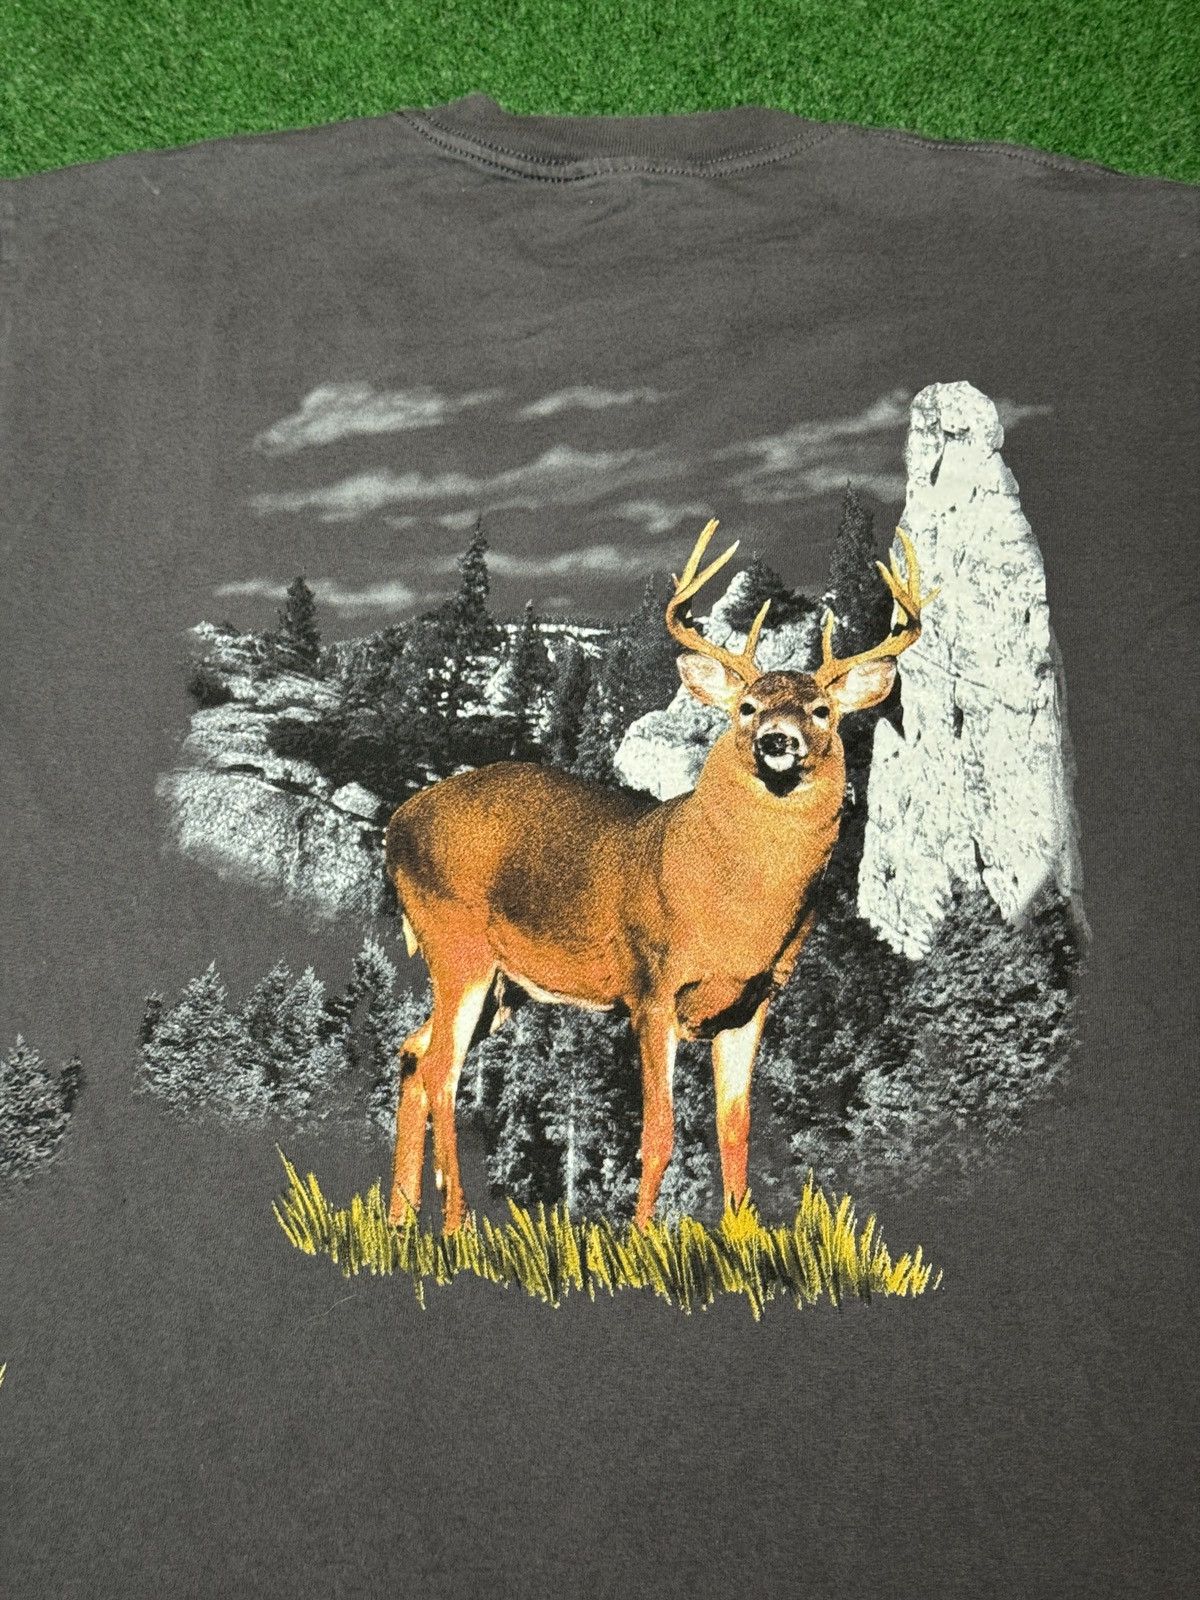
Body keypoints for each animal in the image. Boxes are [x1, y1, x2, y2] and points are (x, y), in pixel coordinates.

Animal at [383, 519, 937, 1233]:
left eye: (820, 710)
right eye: (747, 706)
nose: (777, 740)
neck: (734, 911)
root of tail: (398, 823)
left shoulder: (753, 1002)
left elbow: (735, 1129)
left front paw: (740, 1235)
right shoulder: (651, 988)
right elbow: (660, 1132)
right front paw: (639, 1240)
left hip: (506, 985)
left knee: (412, 1053)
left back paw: (400, 1219)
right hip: (458, 945)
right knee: (442, 1071)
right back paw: (454, 1225)